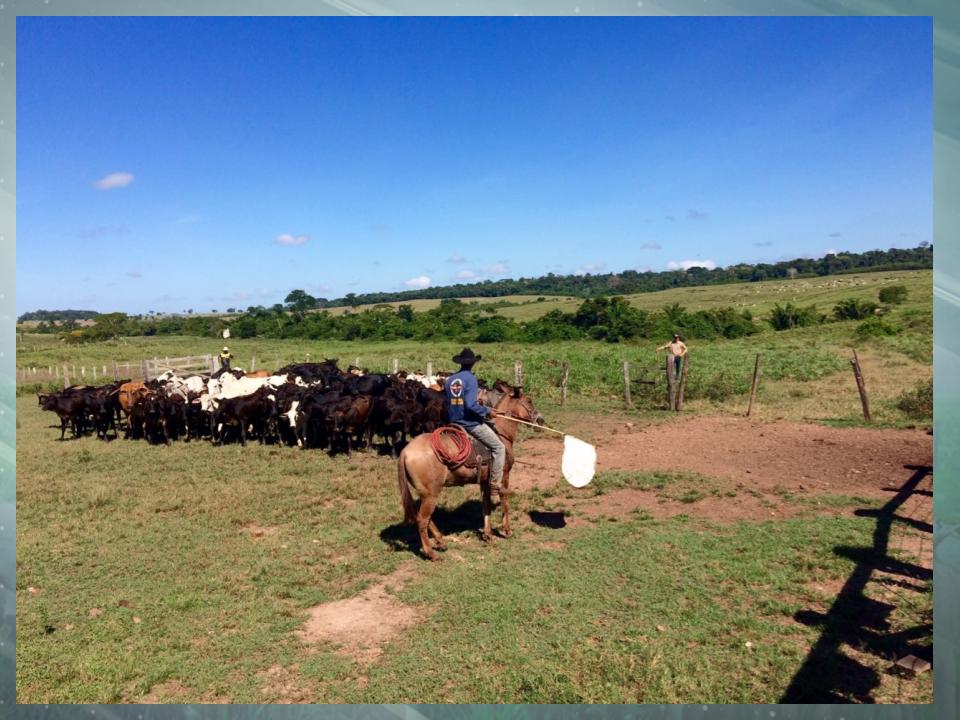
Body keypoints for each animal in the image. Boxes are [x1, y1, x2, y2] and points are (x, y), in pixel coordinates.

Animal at [394, 382, 544, 564]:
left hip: (425, 493)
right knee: (422, 519)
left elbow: (486, 506)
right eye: (529, 401)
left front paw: (487, 534)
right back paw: (431, 553)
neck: (501, 434)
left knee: (424, 518)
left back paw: (441, 541)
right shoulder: (504, 477)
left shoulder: (485, 481)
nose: (540, 420)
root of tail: (405, 452)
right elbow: (505, 503)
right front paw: (506, 530)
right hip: (431, 494)